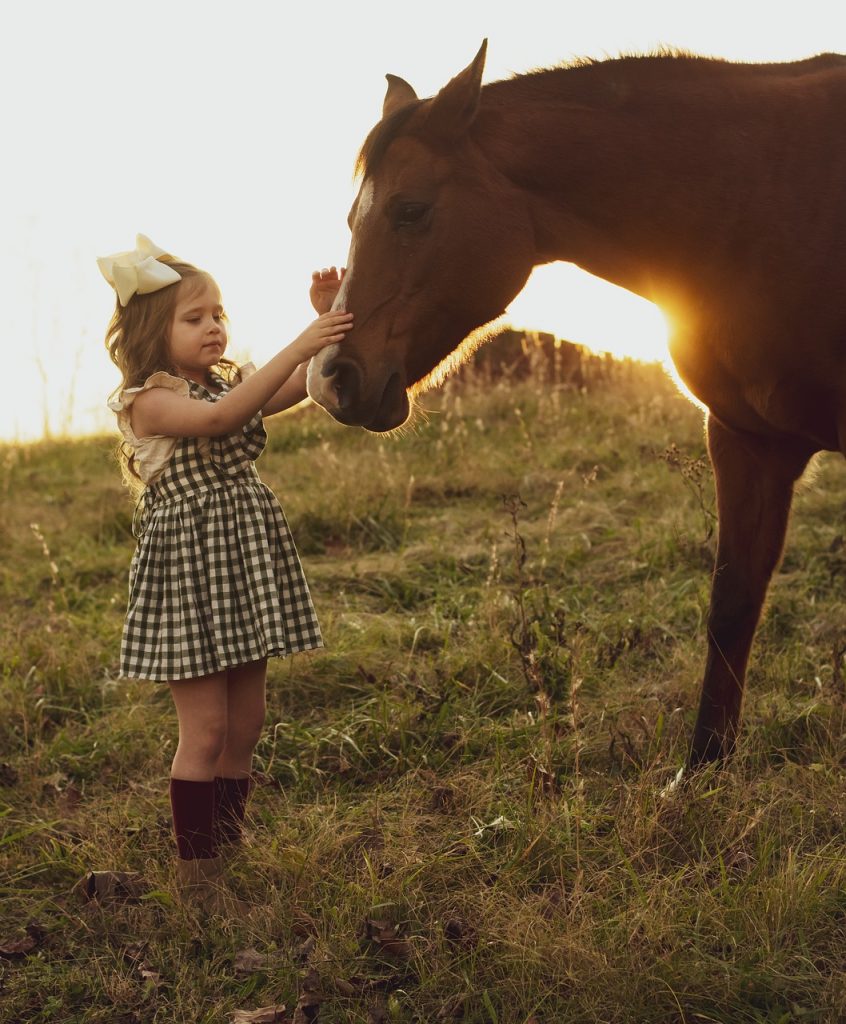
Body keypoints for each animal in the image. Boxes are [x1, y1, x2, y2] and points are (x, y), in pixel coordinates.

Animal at [307, 44, 843, 765]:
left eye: (411, 209)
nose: (331, 378)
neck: (763, 198)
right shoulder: (745, 440)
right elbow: (732, 605)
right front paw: (703, 768)